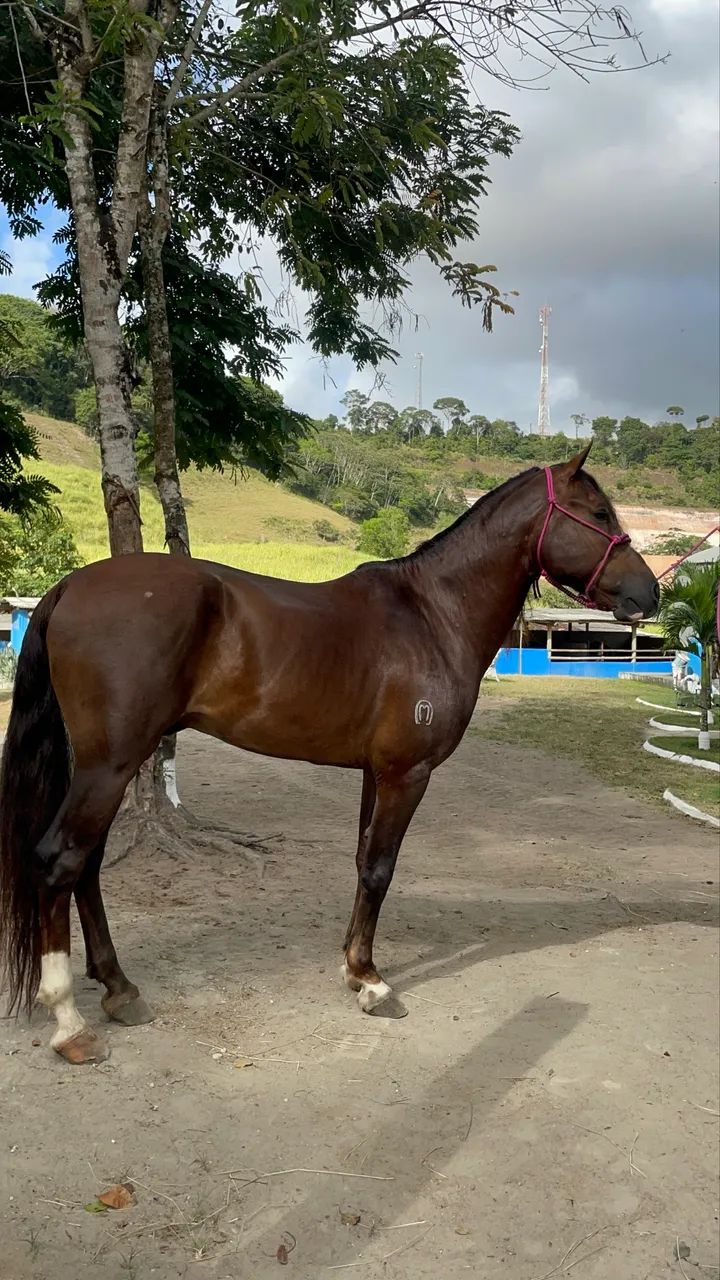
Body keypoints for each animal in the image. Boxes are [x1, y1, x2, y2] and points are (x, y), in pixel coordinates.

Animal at [0, 446, 658, 1064]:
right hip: (109, 766)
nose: (648, 593)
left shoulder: (375, 772)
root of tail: (69, 586)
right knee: (61, 861)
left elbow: (364, 862)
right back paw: (71, 1024)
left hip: (106, 767)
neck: (432, 613)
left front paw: (353, 969)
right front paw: (373, 984)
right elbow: (380, 869)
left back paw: (119, 989)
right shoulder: (406, 774)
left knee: (87, 866)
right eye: (598, 512)